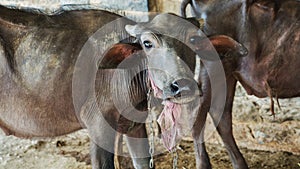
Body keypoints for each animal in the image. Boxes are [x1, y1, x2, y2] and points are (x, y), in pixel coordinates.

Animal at [180, 0, 300, 169]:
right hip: (214, 65)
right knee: (201, 112)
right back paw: (204, 164)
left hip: (226, 71)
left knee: (220, 113)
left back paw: (239, 164)